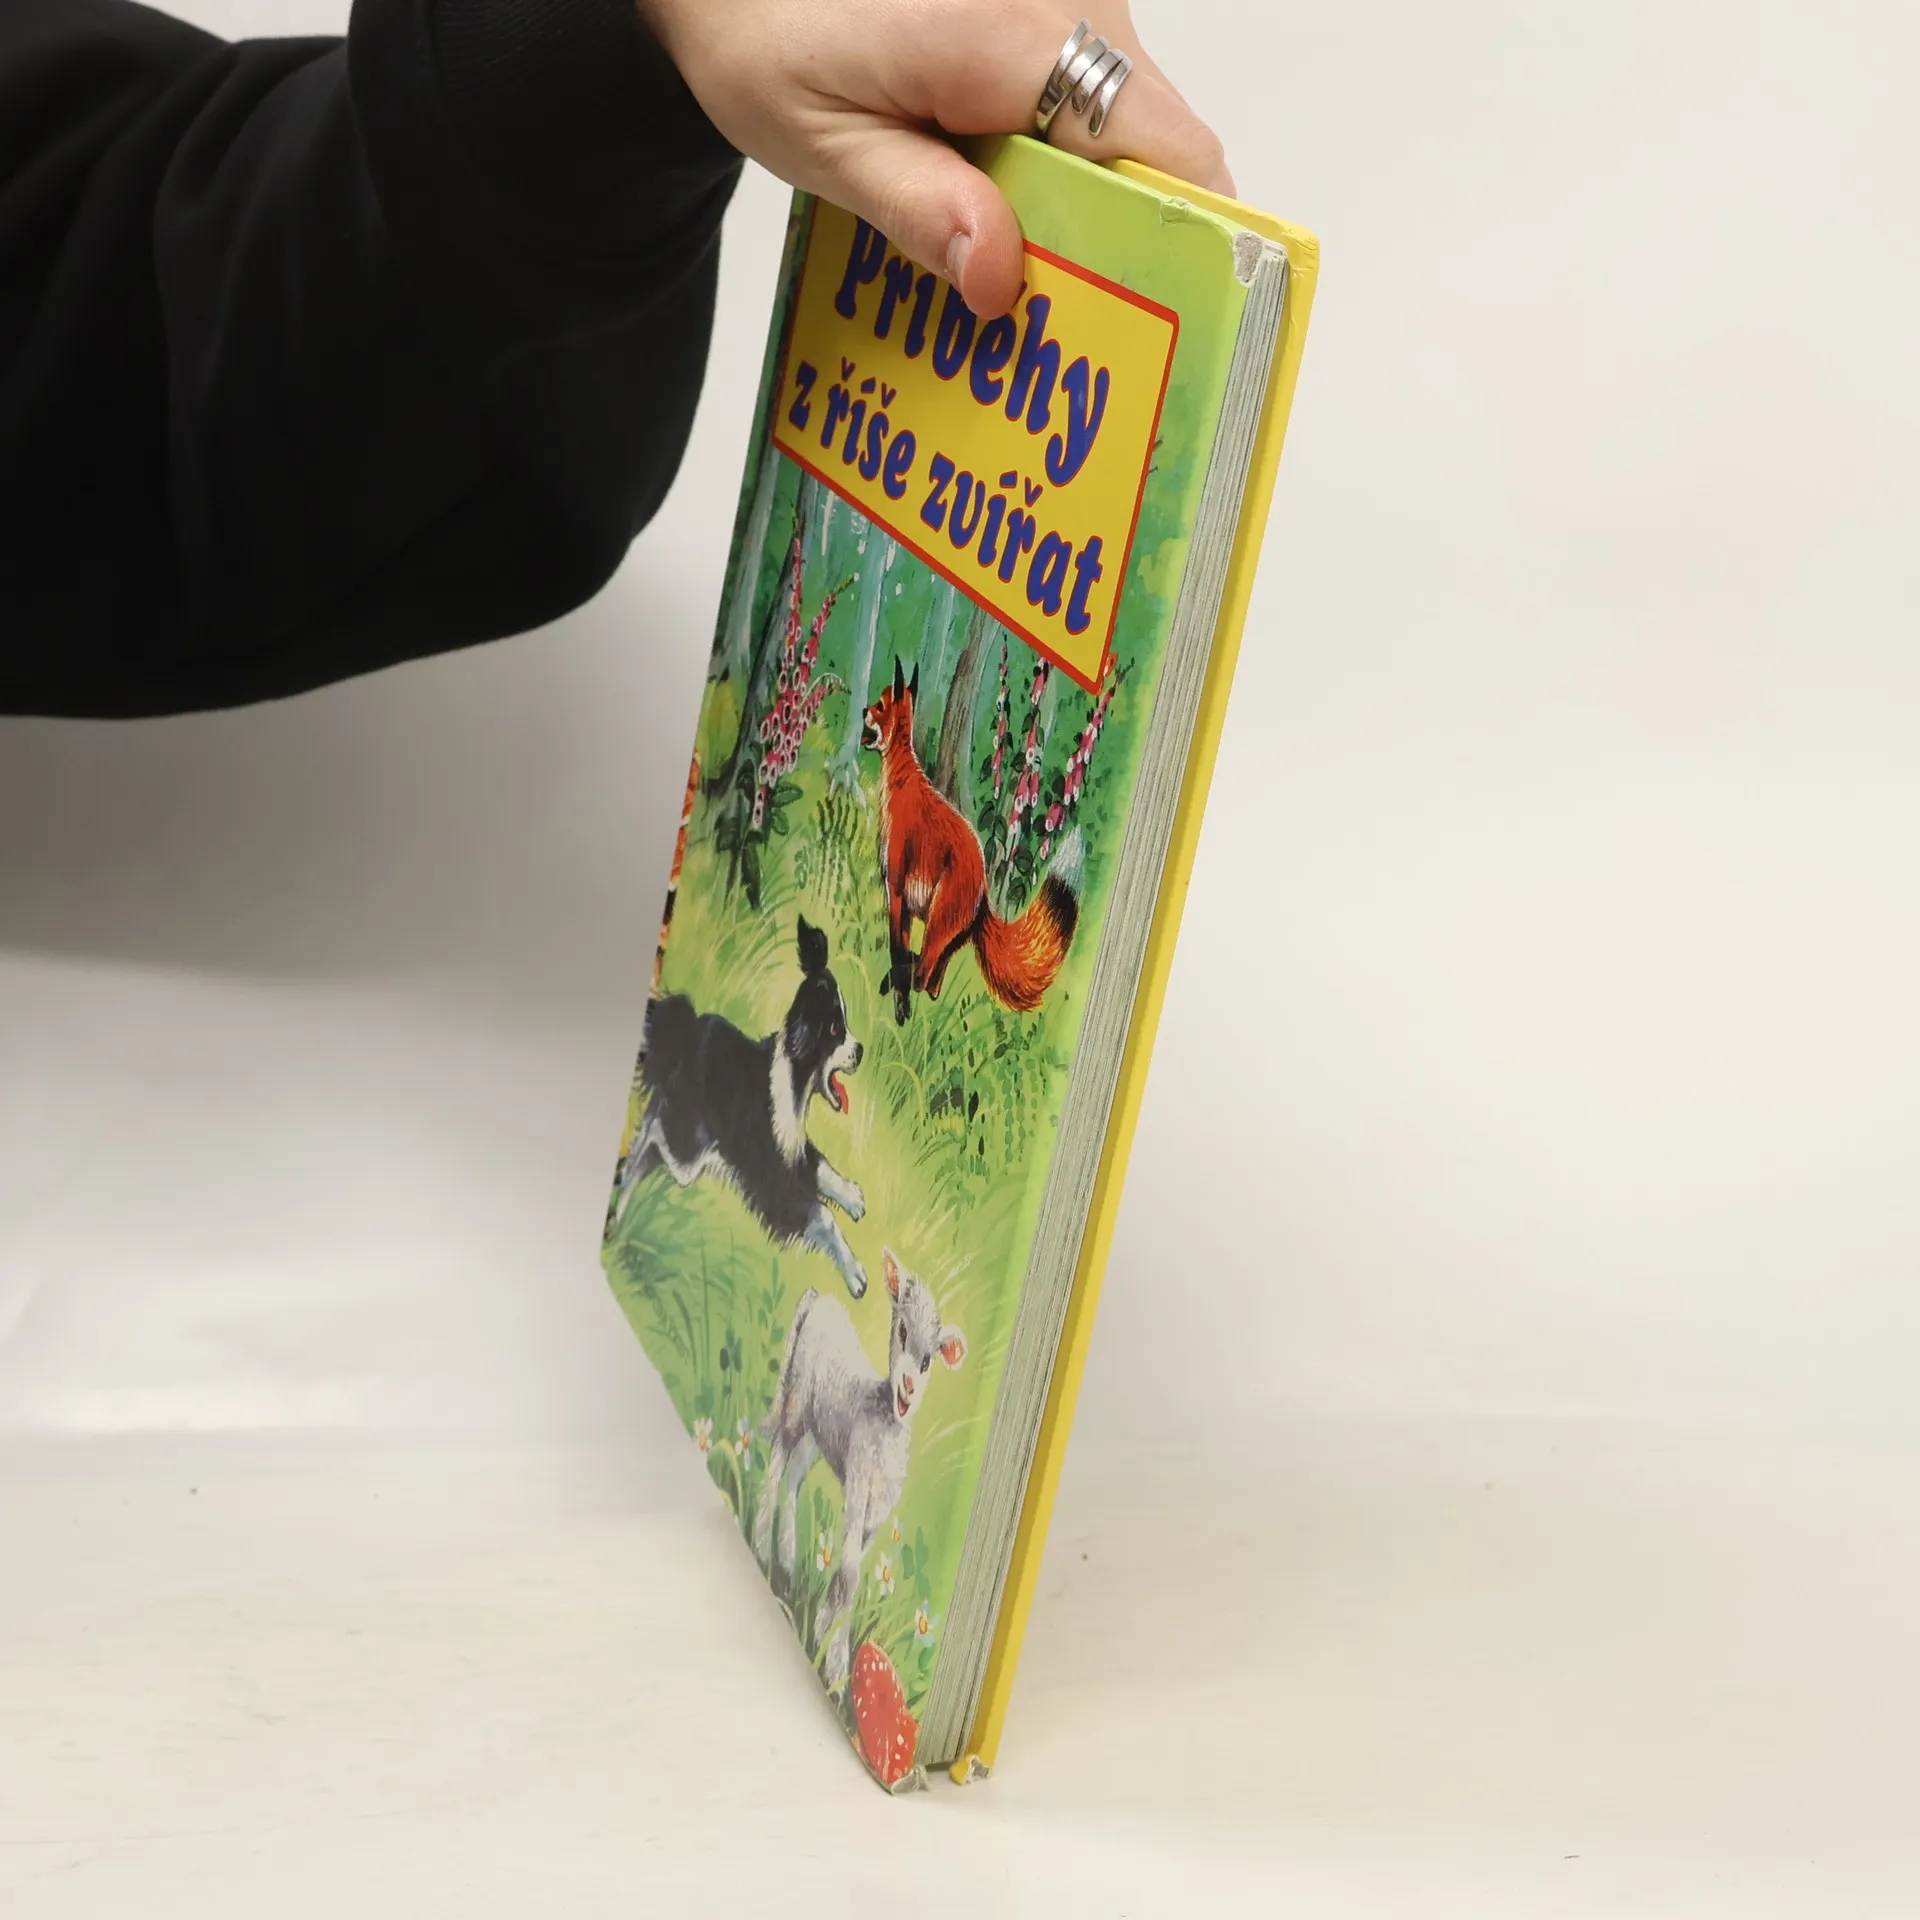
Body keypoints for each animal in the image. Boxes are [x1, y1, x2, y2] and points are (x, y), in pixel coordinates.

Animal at [609, 916, 869, 1297]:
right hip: (689, 1151)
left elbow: (820, 1165)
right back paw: (630, 1170)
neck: (795, 1075)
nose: (861, 1051)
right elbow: (822, 1214)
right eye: (837, 1029)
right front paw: (855, 1273)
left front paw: (852, 1196)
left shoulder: (791, 1147)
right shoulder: (771, 1176)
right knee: (656, 1135)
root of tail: (685, 1029)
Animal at [755, 1250, 966, 1691]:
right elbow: (851, 1573)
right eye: (901, 1331)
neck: (884, 1418)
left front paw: (822, 1629)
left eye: (928, 1360)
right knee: (777, 1458)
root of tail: (822, 1300)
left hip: (819, 1435)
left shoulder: (879, 1509)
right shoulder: (857, 1484)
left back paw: (786, 1560)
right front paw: (837, 1667)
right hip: (796, 1400)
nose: (908, 1387)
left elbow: (844, 1571)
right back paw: (764, 1545)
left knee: (795, 1475)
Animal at [860, 656, 1079, 1025]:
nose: (862, 708)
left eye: (879, 705)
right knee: (930, 985)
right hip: (945, 941)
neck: (900, 784)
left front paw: (897, 1008)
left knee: (921, 975)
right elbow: (900, 952)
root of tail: (984, 891)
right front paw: (898, 1006)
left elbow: (896, 951)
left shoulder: (896, 888)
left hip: (937, 926)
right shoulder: (902, 901)